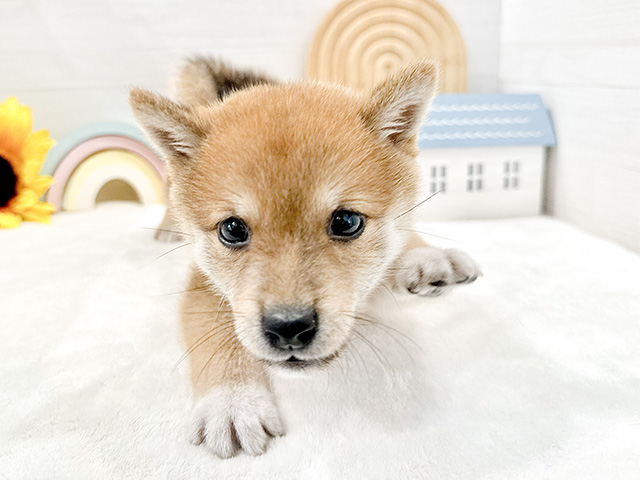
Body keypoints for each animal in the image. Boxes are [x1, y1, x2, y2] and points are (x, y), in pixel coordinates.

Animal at [129, 57, 480, 458]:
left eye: (347, 222)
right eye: (232, 230)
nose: (288, 329)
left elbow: (402, 232)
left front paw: (422, 254)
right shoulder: (203, 281)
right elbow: (215, 335)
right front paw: (232, 401)